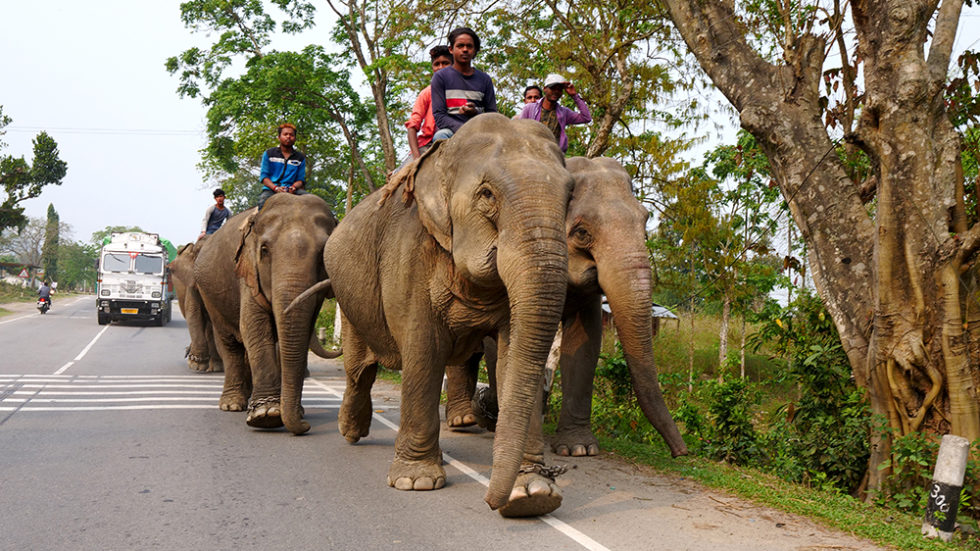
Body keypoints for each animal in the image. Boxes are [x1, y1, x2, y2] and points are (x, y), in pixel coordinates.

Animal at [195, 194, 340, 432]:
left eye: (322, 254)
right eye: (264, 250)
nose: (305, 425)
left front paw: (287, 411)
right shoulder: (247, 272)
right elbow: (253, 328)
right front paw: (267, 415)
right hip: (209, 294)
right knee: (230, 342)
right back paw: (232, 404)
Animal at [324, 114, 576, 520]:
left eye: (569, 197)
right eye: (487, 194)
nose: (492, 502)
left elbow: (512, 357)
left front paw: (534, 494)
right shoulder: (411, 249)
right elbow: (424, 350)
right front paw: (416, 481)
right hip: (350, 298)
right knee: (359, 370)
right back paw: (350, 432)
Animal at [446, 155, 684, 458]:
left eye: (644, 224)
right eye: (582, 232)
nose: (681, 453)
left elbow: (584, 344)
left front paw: (579, 449)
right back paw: (463, 419)